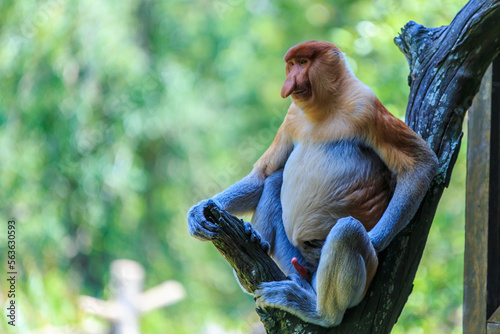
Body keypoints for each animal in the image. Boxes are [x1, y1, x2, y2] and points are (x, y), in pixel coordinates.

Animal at [188, 39, 438, 326]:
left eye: (304, 63)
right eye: (291, 64)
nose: (289, 82)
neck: (324, 109)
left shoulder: (366, 106)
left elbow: (422, 163)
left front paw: (375, 240)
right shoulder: (291, 117)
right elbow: (263, 173)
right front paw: (198, 212)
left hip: (354, 284)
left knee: (348, 231)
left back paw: (318, 312)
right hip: (293, 261)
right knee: (275, 181)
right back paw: (256, 245)